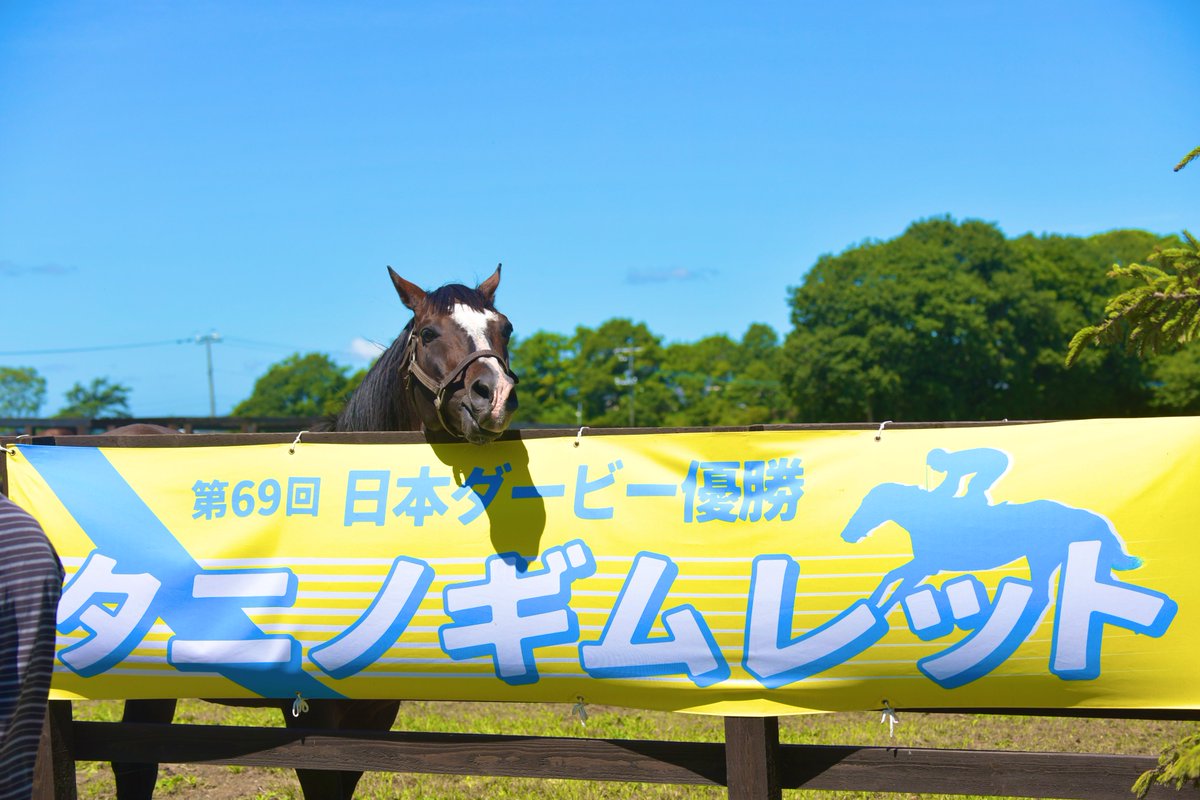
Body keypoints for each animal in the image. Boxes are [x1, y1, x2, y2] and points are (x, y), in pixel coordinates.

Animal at [839, 482, 1142, 613]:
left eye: (869, 505)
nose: (847, 534)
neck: (928, 518)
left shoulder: (926, 565)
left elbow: (899, 587)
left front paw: (877, 611)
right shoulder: (925, 564)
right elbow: (892, 577)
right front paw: (870, 604)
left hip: (1042, 558)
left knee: (1042, 595)